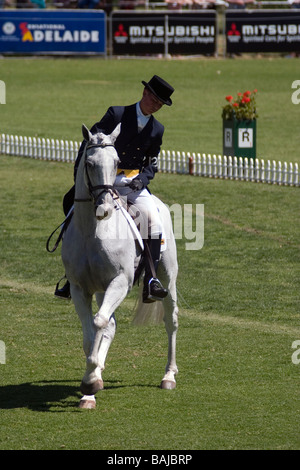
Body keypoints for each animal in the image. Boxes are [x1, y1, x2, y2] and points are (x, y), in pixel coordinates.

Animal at [61, 125, 178, 408]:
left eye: (116, 162)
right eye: (89, 163)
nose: (104, 207)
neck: (91, 230)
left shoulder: (119, 282)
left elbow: (99, 322)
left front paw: (90, 381)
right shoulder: (80, 289)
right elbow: (91, 334)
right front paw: (90, 385)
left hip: (167, 277)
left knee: (171, 319)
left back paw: (169, 376)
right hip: (103, 289)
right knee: (110, 325)